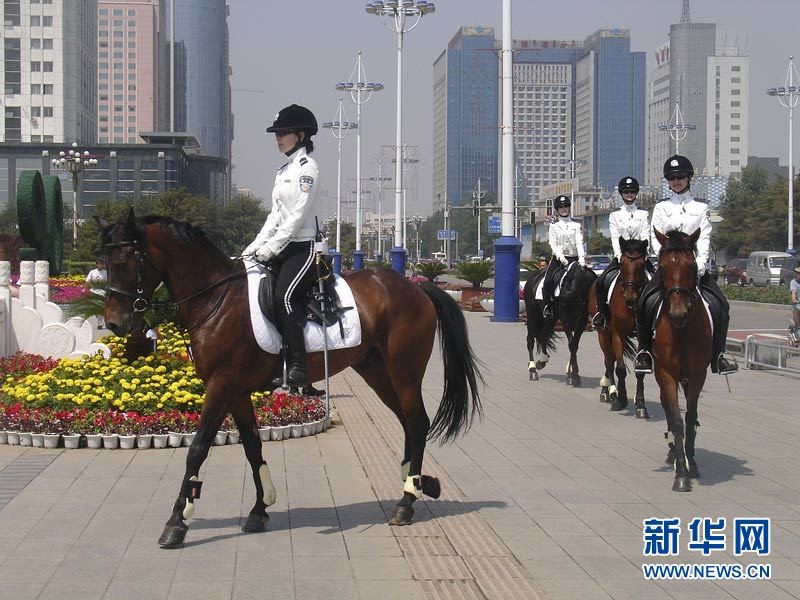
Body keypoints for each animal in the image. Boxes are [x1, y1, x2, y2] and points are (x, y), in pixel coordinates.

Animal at [103, 211, 484, 548]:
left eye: (122, 263)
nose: (113, 323)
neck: (216, 300)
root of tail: (415, 288)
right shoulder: (236, 391)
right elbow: (252, 447)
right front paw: (260, 509)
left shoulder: (221, 385)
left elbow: (197, 450)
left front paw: (176, 522)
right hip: (377, 372)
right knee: (408, 424)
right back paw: (416, 484)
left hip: (404, 371)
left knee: (417, 423)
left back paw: (406, 502)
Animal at [588, 239, 648, 418]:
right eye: (622, 263)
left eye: (642, 264)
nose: (630, 297)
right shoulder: (617, 334)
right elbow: (620, 368)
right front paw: (620, 400)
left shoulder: (643, 336)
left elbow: (640, 369)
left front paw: (641, 404)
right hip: (602, 332)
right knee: (608, 359)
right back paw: (610, 392)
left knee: (611, 358)